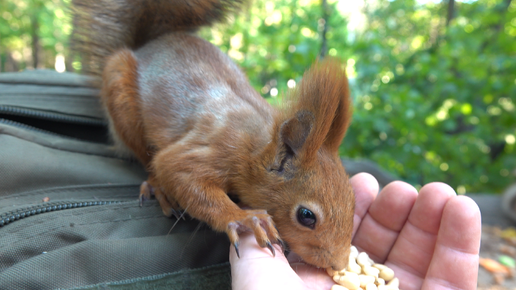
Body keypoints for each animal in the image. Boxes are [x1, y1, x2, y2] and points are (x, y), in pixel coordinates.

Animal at [71, 0, 354, 270]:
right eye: (306, 216)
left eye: (352, 200)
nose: (339, 264)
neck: (255, 143)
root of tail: (150, 45)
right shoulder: (216, 148)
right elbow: (177, 170)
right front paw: (243, 218)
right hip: (121, 96)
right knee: (144, 157)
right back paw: (157, 187)